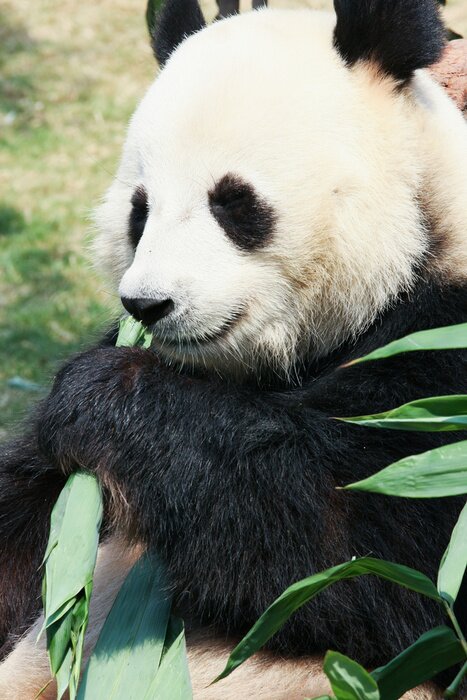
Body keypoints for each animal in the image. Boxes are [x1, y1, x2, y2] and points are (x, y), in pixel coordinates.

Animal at [0, 0, 466, 698]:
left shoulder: (443, 353)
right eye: (139, 210)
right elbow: (24, 513)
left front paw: (100, 394)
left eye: (233, 202)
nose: (148, 305)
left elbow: (361, 543)